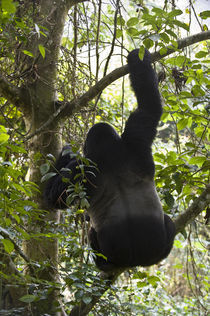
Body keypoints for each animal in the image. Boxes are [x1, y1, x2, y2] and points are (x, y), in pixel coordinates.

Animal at [44, 48, 176, 272]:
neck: (109, 150)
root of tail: (134, 262)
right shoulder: (136, 137)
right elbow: (149, 107)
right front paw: (139, 58)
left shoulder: (85, 165)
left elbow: (56, 197)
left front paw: (67, 153)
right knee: (169, 224)